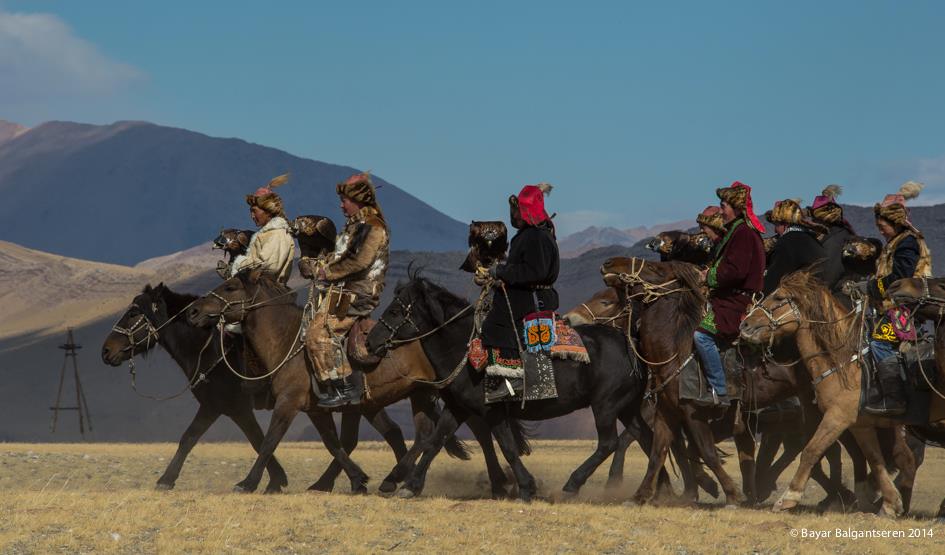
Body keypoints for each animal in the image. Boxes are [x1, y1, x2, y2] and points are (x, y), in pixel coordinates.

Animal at [100, 284, 410, 494]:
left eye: (133, 313)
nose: (106, 352)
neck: (207, 348)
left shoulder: (223, 406)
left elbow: (199, 438)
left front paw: (166, 480)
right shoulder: (229, 407)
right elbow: (254, 440)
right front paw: (275, 481)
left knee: (362, 437)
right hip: (362, 404)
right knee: (385, 433)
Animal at [187, 272, 520, 498]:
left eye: (230, 287)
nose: (193, 311)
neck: (289, 340)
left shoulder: (288, 403)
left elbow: (270, 441)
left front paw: (247, 483)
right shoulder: (317, 409)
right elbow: (333, 444)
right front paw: (355, 480)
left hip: (439, 392)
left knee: (469, 431)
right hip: (421, 394)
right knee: (427, 434)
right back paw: (399, 478)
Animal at [366, 272, 660, 502]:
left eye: (394, 311)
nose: (370, 342)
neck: (463, 347)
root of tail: (629, 343)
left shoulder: (492, 410)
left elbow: (506, 446)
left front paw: (526, 487)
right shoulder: (458, 408)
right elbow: (436, 441)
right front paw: (410, 486)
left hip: (605, 406)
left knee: (609, 442)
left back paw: (572, 485)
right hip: (626, 406)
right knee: (644, 436)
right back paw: (657, 491)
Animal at [736, 272, 916, 520]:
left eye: (779, 297)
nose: (745, 324)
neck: (845, 362)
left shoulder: (837, 417)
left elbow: (811, 451)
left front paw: (788, 498)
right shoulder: (860, 424)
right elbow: (874, 458)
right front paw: (889, 503)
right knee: (901, 459)